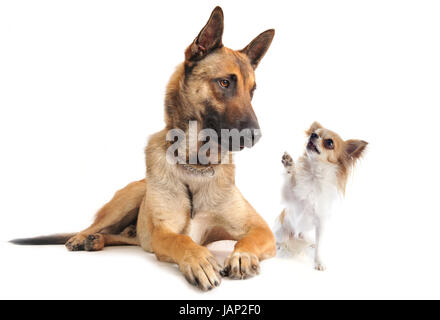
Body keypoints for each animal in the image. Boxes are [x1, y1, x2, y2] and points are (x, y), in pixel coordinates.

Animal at [11, 6, 276, 292]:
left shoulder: (261, 229)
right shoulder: (164, 232)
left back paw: (97, 240)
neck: (196, 165)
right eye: (225, 83)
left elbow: (247, 240)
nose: (256, 136)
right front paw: (200, 261)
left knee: (126, 237)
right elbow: (183, 241)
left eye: (252, 91)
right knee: (97, 225)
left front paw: (242, 256)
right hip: (128, 200)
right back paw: (83, 237)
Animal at [274, 122, 366, 270]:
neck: (314, 175)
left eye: (329, 143)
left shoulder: (320, 223)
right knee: (279, 241)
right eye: (315, 132)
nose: (313, 135)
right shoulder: (290, 199)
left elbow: (319, 246)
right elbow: (289, 179)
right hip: (281, 232)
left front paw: (319, 262)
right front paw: (289, 164)